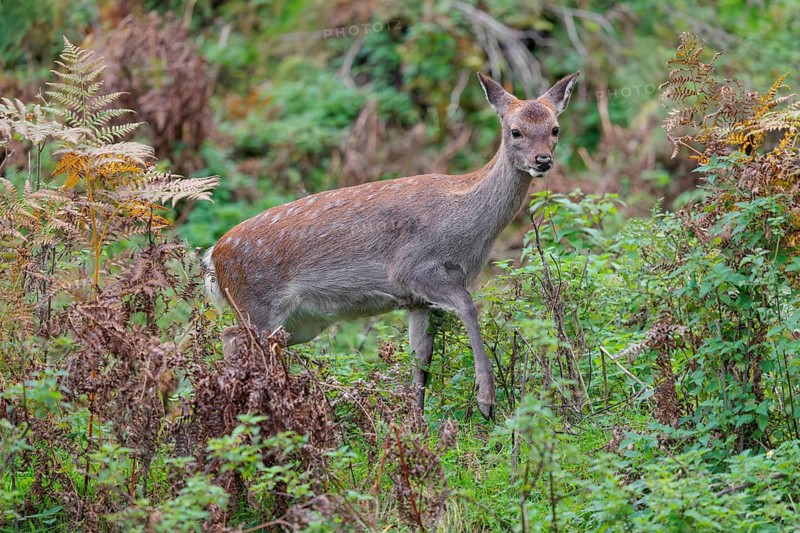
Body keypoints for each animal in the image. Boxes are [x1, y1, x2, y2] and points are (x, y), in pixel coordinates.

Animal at [203, 71, 580, 420]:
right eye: (515, 131)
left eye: (555, 129)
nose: (542, 160)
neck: (465, 230)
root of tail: (213, 258)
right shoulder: (413, 267)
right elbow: (468, 306)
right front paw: (486, 400)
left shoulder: (418, 301)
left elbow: (420, 360)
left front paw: (418, 422)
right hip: (258, 306)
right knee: (232, 339)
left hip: (299, 323)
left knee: (231, 337)